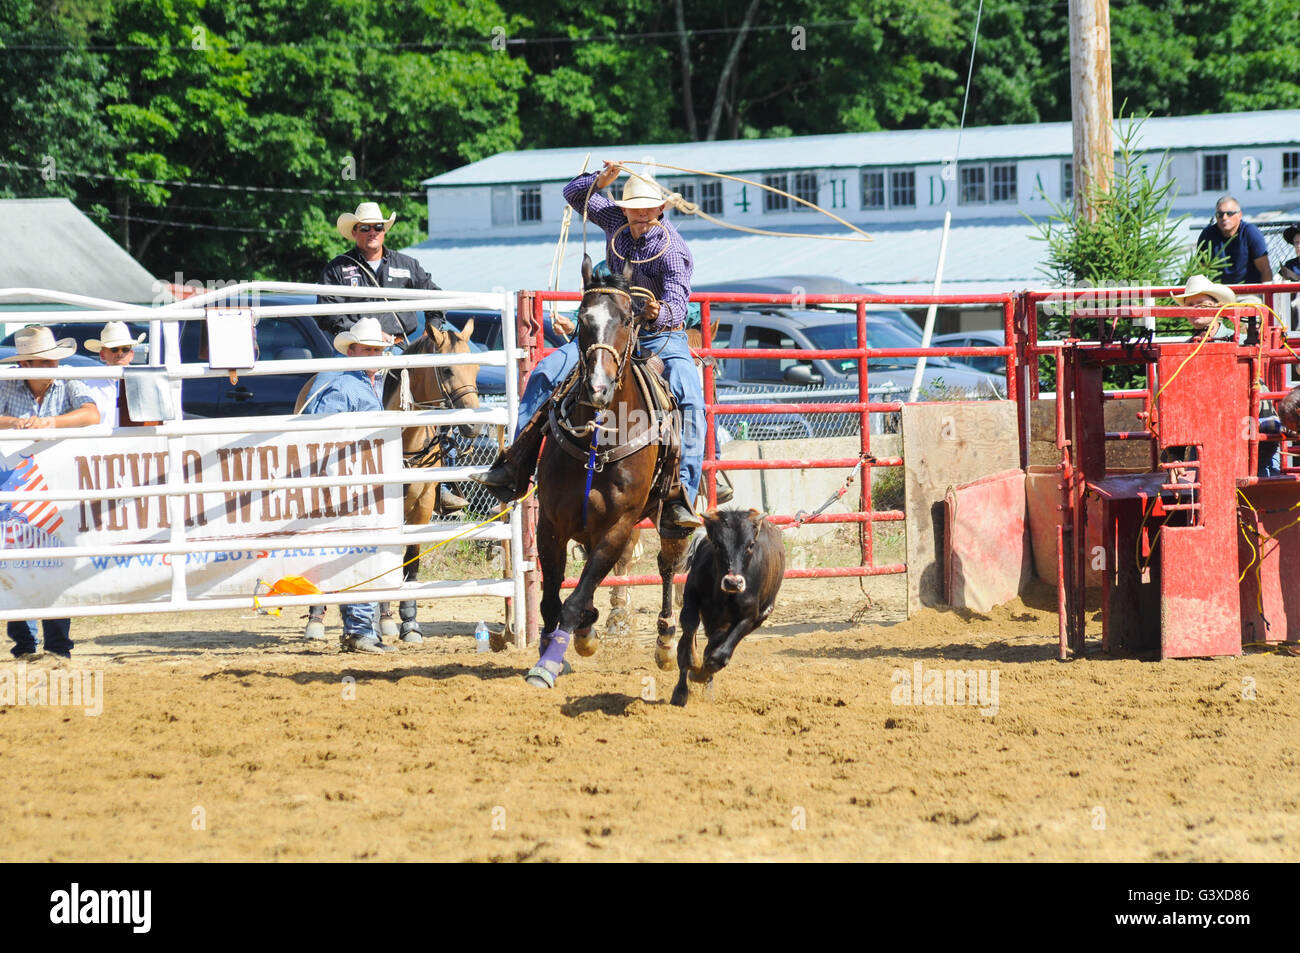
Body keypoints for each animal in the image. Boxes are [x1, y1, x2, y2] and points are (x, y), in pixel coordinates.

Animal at [292, 323, 480, 642]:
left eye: (477, 368)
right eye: (445, 369)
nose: (475, 425)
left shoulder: (421, 506)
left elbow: (409, 562)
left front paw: (408, 623)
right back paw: (316, 619)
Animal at [525, 256, 696, 686]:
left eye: (627, 318)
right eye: (583, 318)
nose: (598, 388)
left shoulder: (618, 527)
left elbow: (575, 597)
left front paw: (552, 661)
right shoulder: (551, 524)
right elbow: (553, 598)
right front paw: (558, 647)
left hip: (672, 513)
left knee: (668, 565)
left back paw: (666, 641)